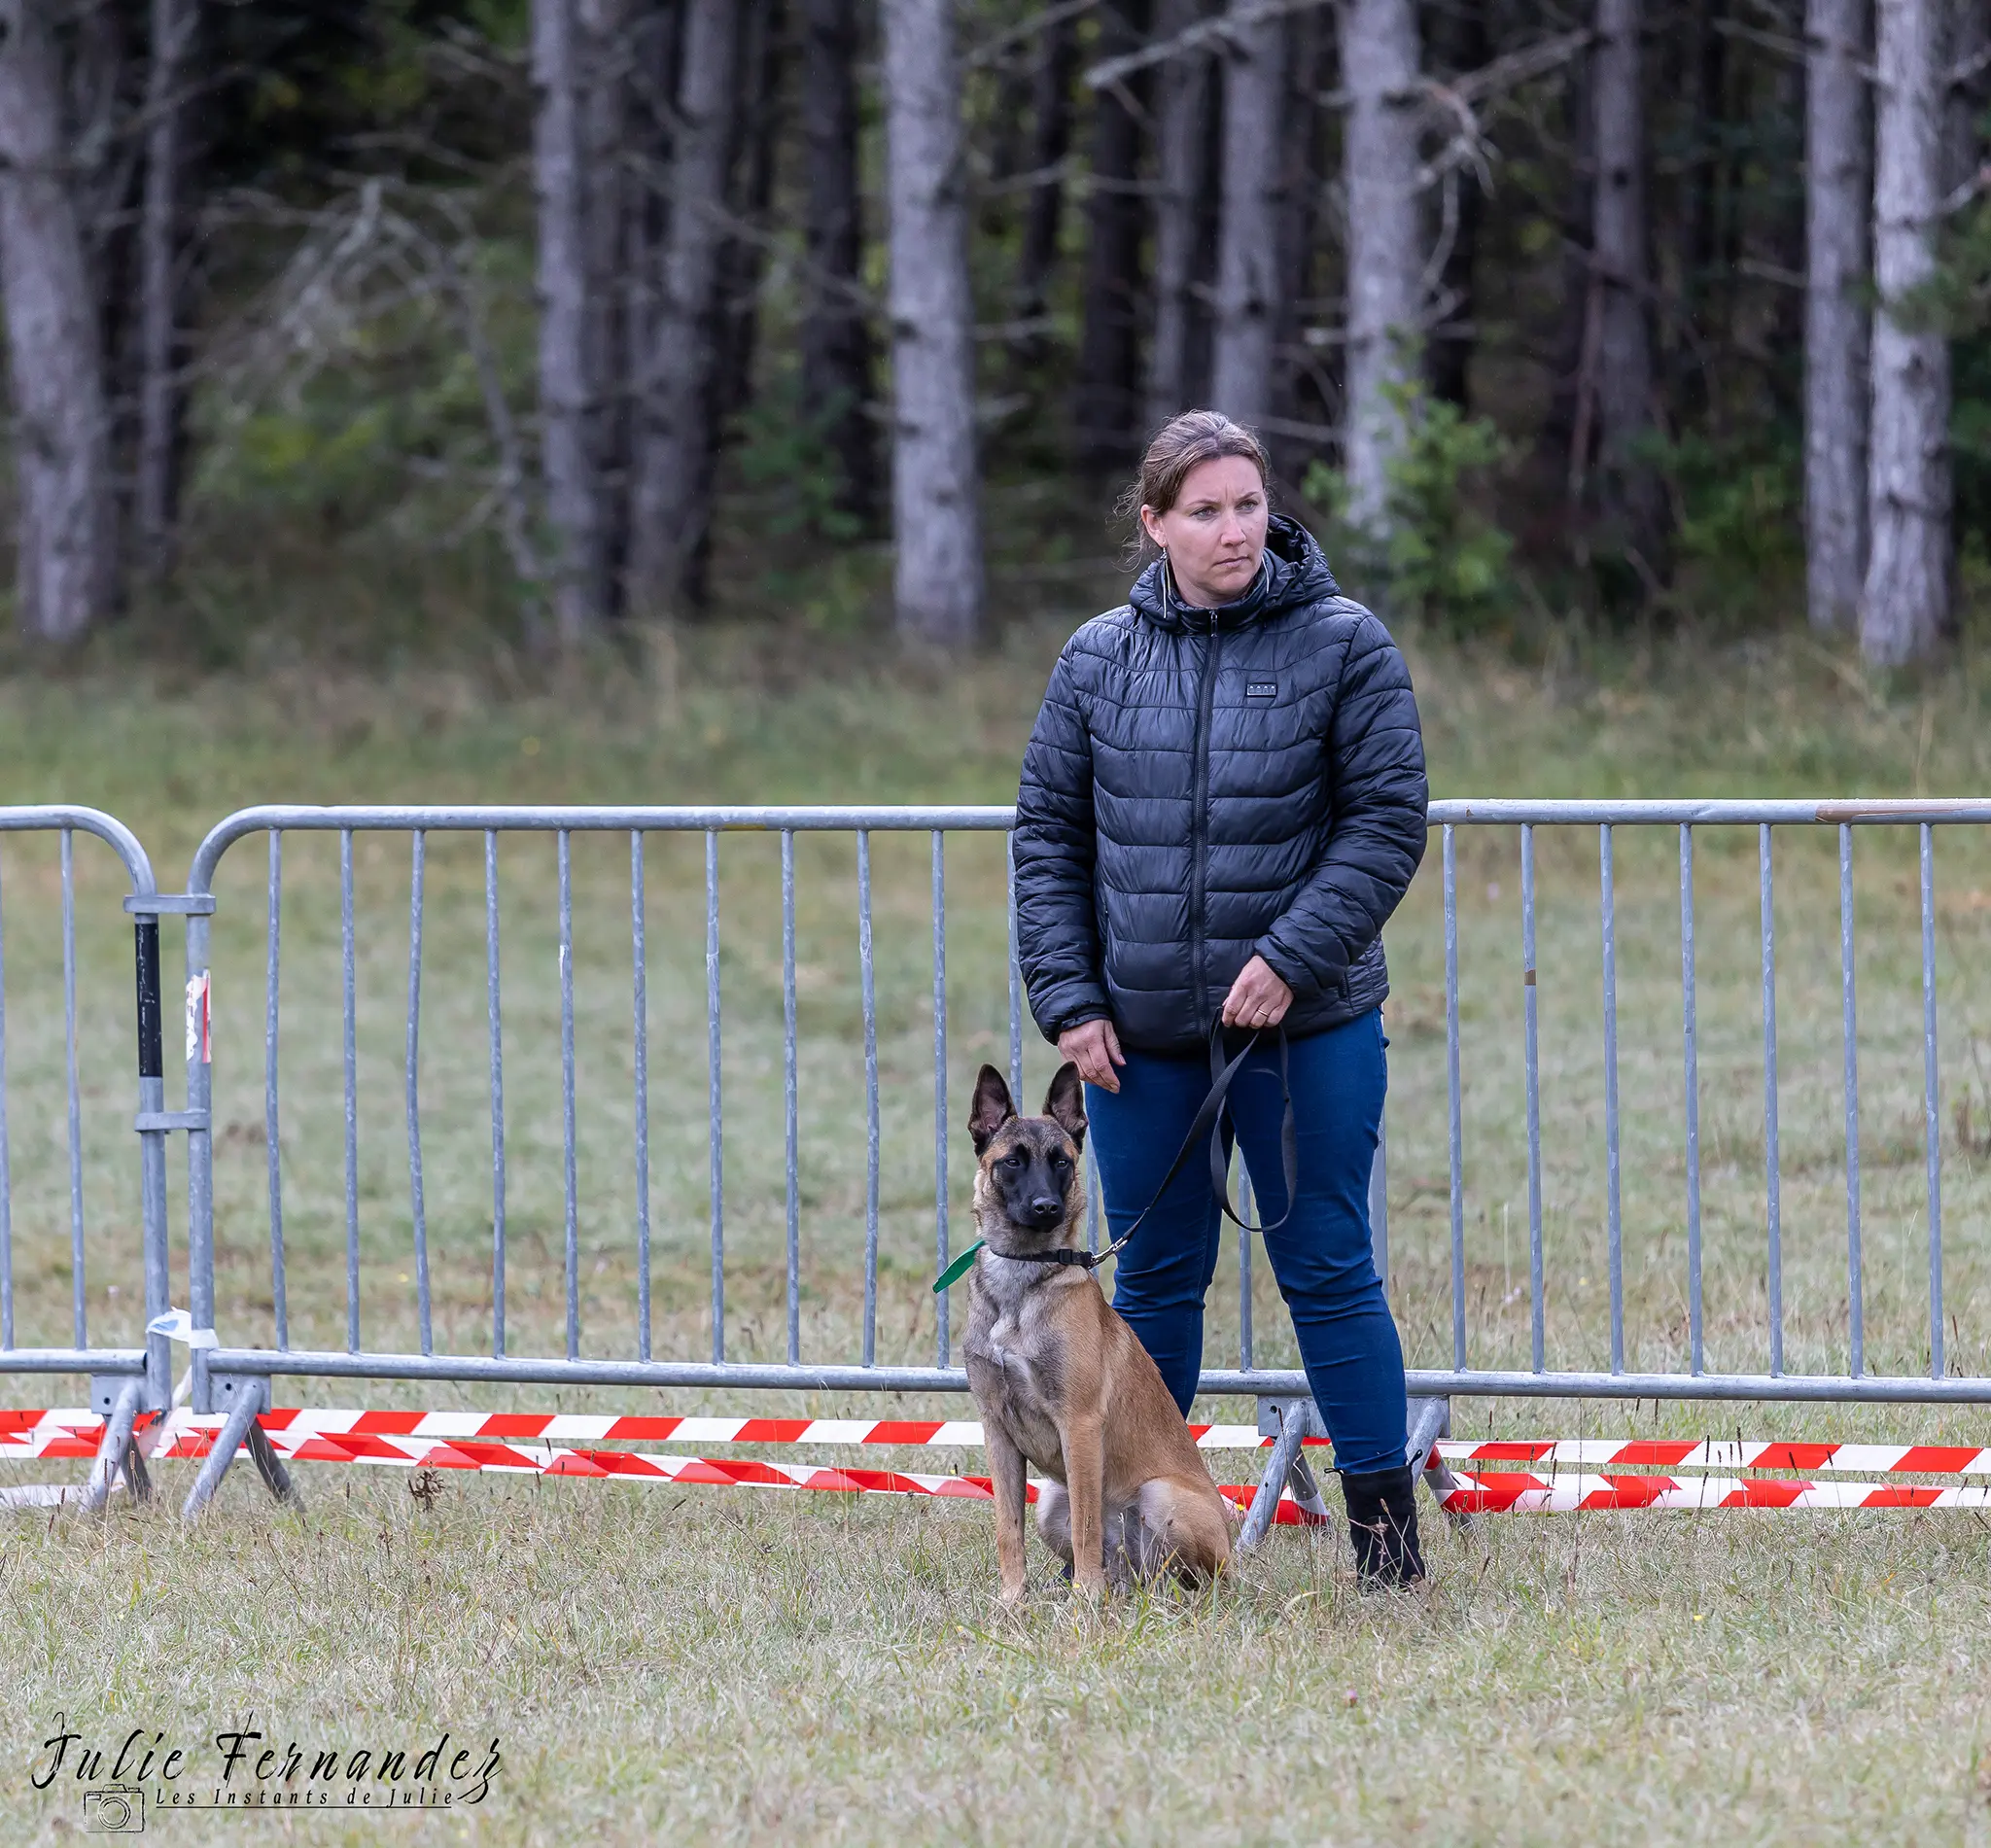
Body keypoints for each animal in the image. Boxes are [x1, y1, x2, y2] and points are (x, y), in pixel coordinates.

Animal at [960, 1051, 1226, 1600]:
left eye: (1061, 1161)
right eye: (1012, 1161)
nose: (1046, 1207)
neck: (1022, 1279)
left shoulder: (1078, 1426)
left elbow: (1085, 1524)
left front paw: (1084, 1600)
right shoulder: (996, 1432)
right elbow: (1007, 1529)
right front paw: (1012, 1601)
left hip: (1160, 1497)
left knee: (1187, 1578)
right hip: (1050, 1503)